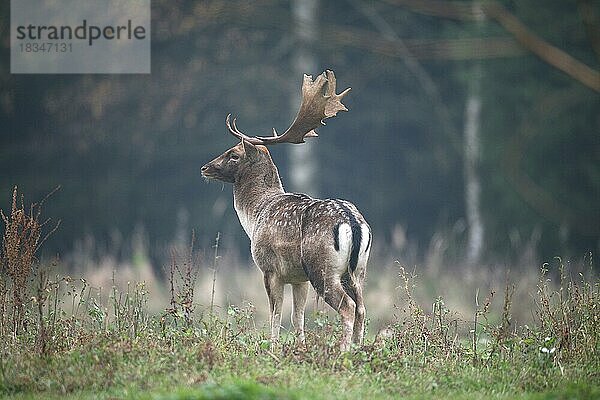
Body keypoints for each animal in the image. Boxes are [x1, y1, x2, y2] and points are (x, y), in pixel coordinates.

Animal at [202, 71, 370, 350]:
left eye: (234, 154)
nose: (204, 167)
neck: (255, 215)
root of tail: (353, 224)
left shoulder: (270, 269)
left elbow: (275, 313)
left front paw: (272, 348)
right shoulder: (298, 277)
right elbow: (297, 317)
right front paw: (299, 348)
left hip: (322, 269)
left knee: (347, 306)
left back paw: (344, 351)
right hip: (357, 272)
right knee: (361, 308)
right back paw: (359, 349)